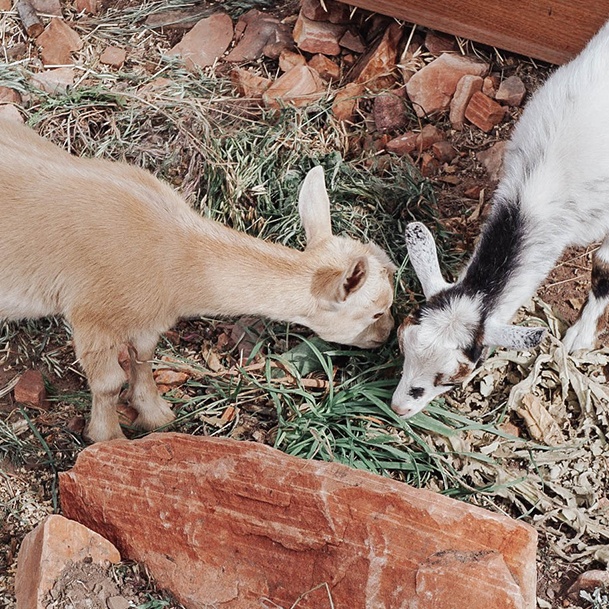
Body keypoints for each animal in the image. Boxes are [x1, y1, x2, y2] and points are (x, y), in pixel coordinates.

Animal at [1, 120, 394, 442]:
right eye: (376, 311)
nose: (386, 335)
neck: (179, 255)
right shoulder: (92, 316)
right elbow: (109, 382)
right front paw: (107, 437)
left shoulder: (148, 320)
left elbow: (143, 358)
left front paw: (156, 415)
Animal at [392, 20, 608, 418]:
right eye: (402, 343)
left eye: (453, 377)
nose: (399, 408)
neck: (541, 188)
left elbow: (602, 266)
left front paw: (580, 338)